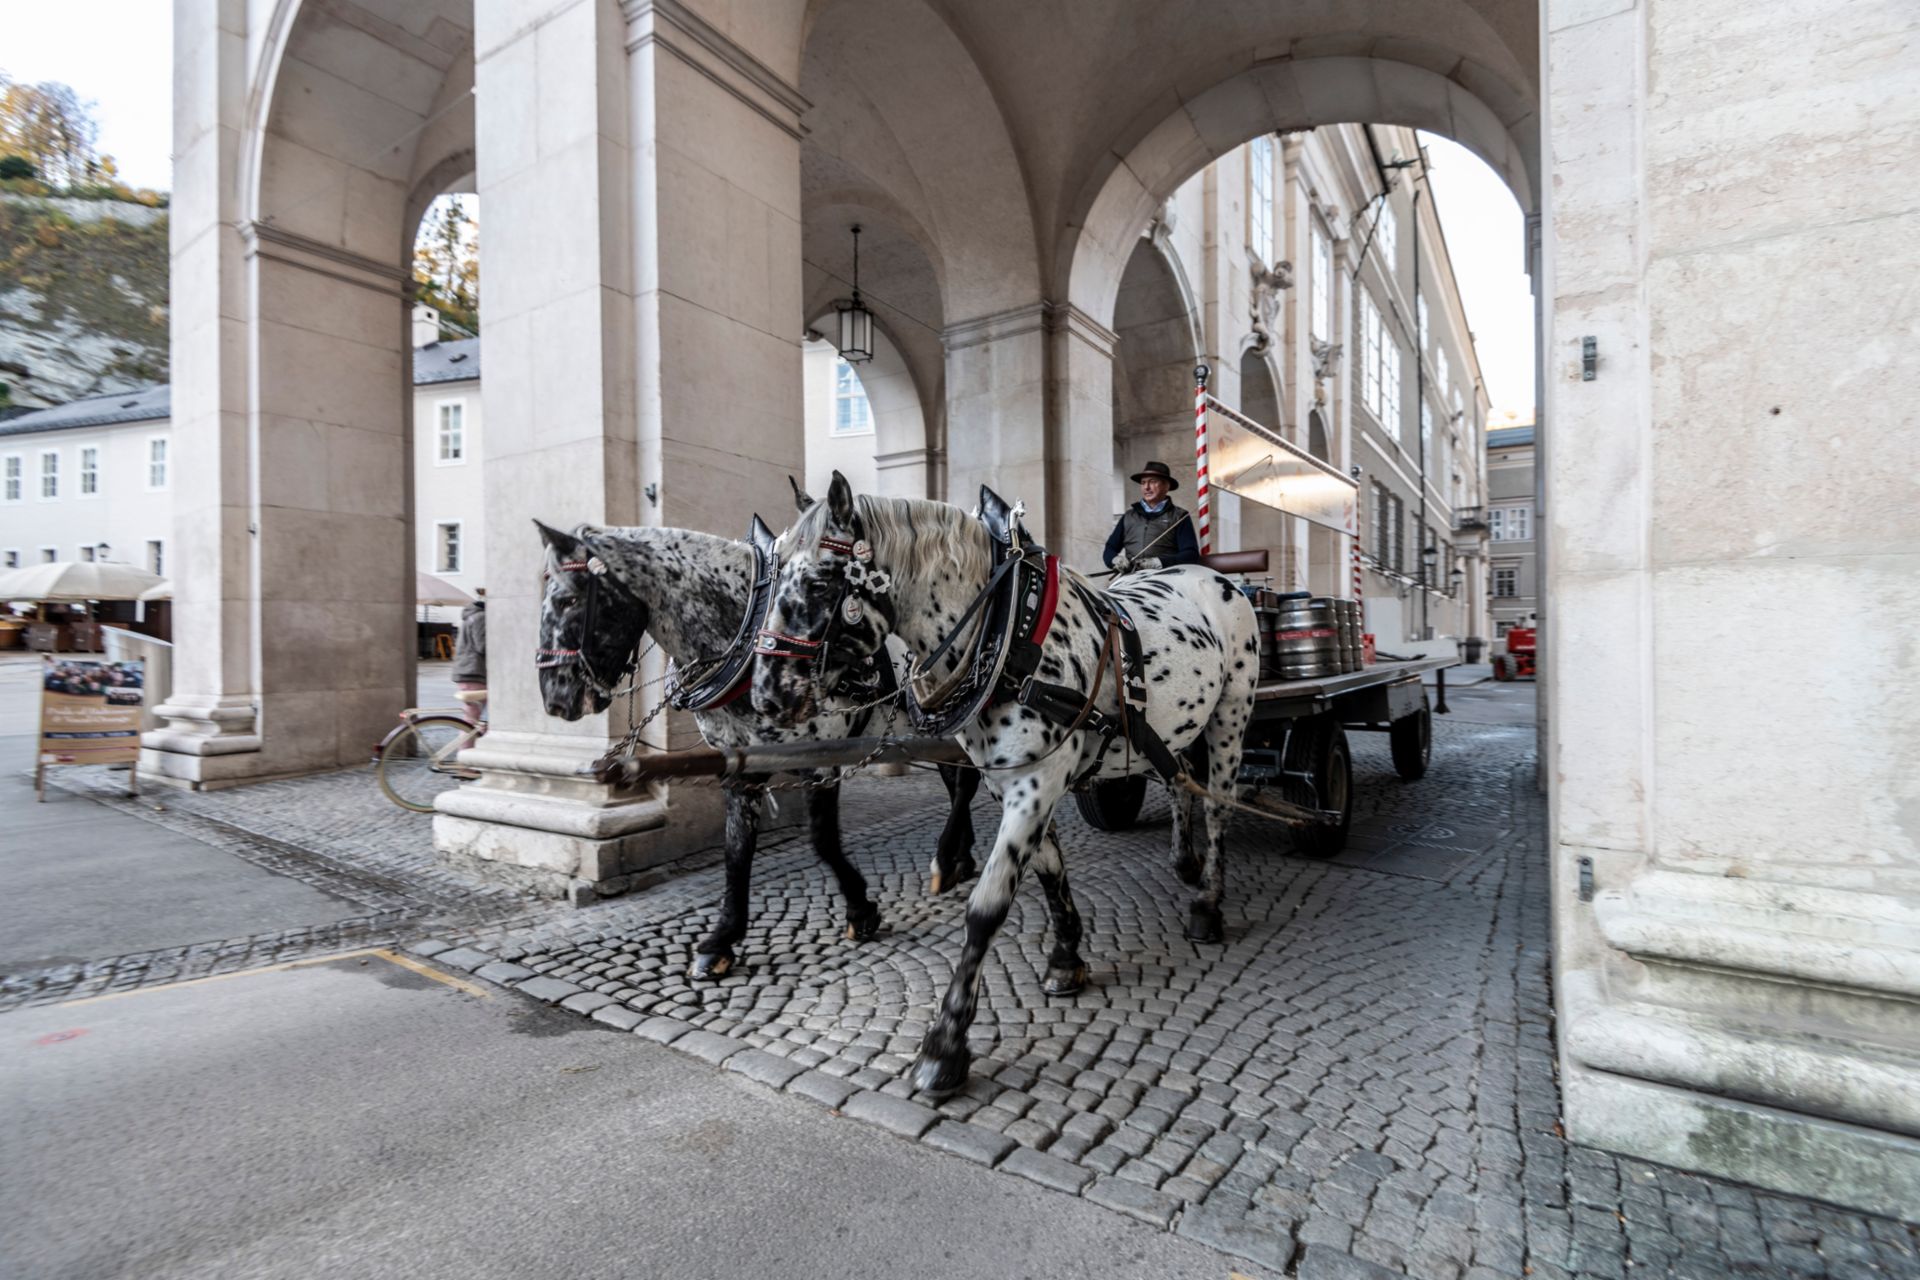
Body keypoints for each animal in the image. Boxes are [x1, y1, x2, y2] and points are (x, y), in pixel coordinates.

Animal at [541, 521, 990, 982]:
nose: (555, 697)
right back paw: (961, 857)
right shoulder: (740, 767)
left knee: (966, 782)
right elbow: (737, 850)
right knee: (959, 781)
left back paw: (946, 858)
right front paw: (721, 939)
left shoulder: (821, 761)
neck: (751, 634)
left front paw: (860, 909)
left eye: (567, 599)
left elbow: (823, 840)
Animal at [744, 475, 1259, 1097]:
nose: (767, 695)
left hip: (1232, 715)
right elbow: (1049, 869)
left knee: (1219, 810)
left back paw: (1207, 901)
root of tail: (1213, 576)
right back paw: (1185, 861)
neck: (1008, 629)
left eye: (820, 580)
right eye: (768, 580)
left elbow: (987, 907)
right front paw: (1065, 956)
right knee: (1180, 778)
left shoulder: (1035, 783)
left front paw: (944, 1044)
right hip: (1174, 725)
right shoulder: (1013, 779)